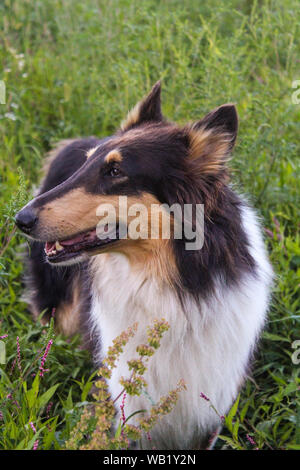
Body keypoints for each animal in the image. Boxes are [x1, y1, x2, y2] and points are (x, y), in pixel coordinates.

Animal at [15, 82, 274, 450]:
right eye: (86, 165)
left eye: (115, 172)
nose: (19, 219)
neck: (169, 285)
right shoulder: (127, 405)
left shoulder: (212, 409)